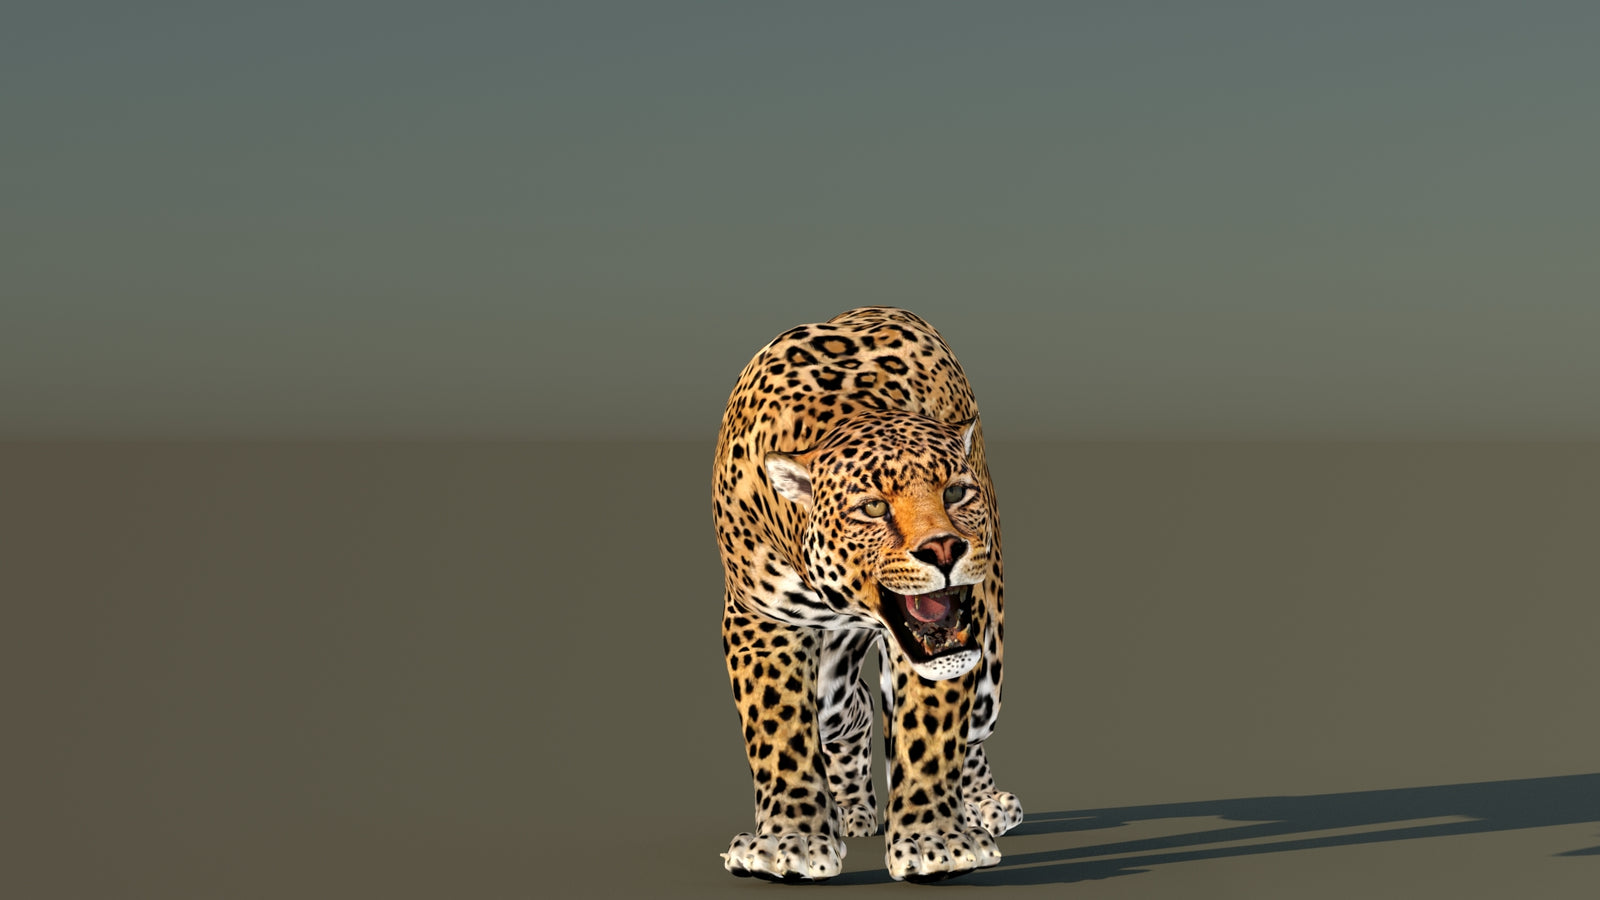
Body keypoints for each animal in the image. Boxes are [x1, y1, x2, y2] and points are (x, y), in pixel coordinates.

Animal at [712, 306, 1022, 883]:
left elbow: (930, 735)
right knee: (850, 708)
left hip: (989, 664)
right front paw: (790, 839)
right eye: (873, 508)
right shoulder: (760, 620)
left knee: (972, 729)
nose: (944, 548)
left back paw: (982, 804)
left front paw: (934, 840)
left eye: (955, 491)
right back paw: (852, 810)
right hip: (829, 695)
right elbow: (778, 730)